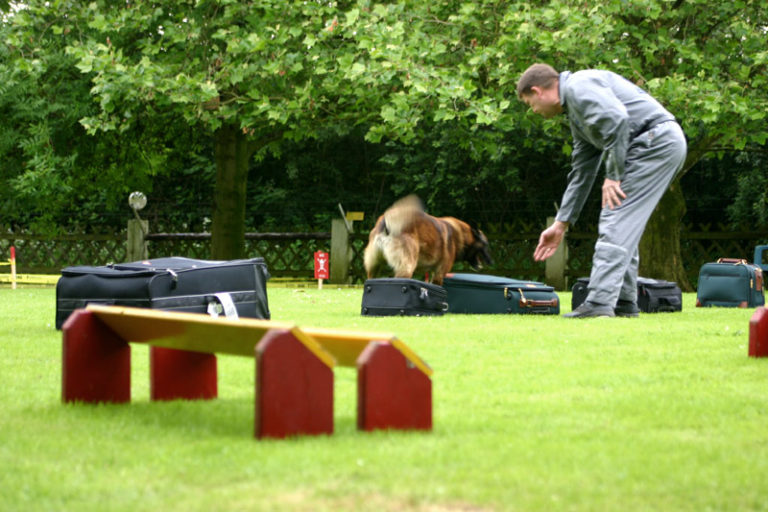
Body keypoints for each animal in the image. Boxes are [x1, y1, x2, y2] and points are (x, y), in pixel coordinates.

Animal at [362, 195, 492, 286]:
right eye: (485, 245)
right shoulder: (439, 273)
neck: (460, 235)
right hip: (407, 268)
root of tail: (386, 221)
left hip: (374, 268)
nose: (491, 262)